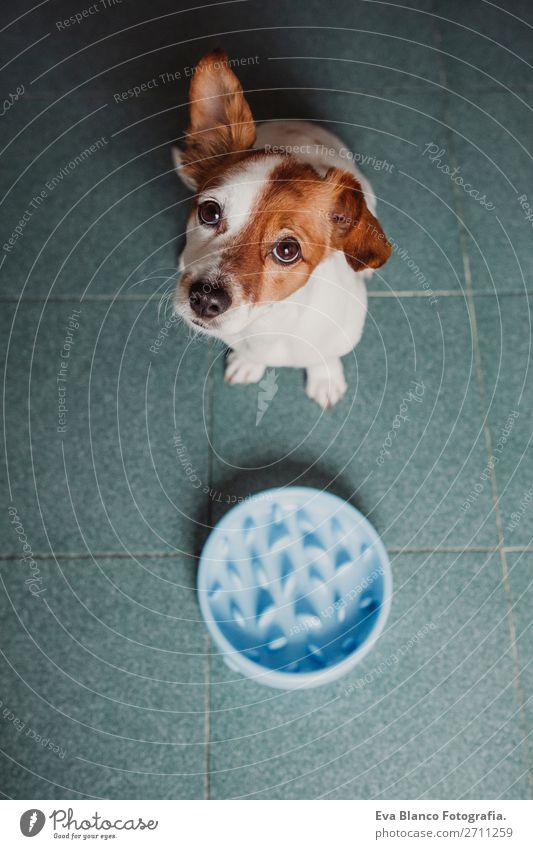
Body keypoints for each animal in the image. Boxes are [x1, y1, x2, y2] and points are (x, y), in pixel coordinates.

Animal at [174, 51, 390, 410]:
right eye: (209, 212)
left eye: (287, 250)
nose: (205, 299)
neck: (270, 323)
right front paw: (249, 363)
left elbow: (324, 357)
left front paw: (325, 377)